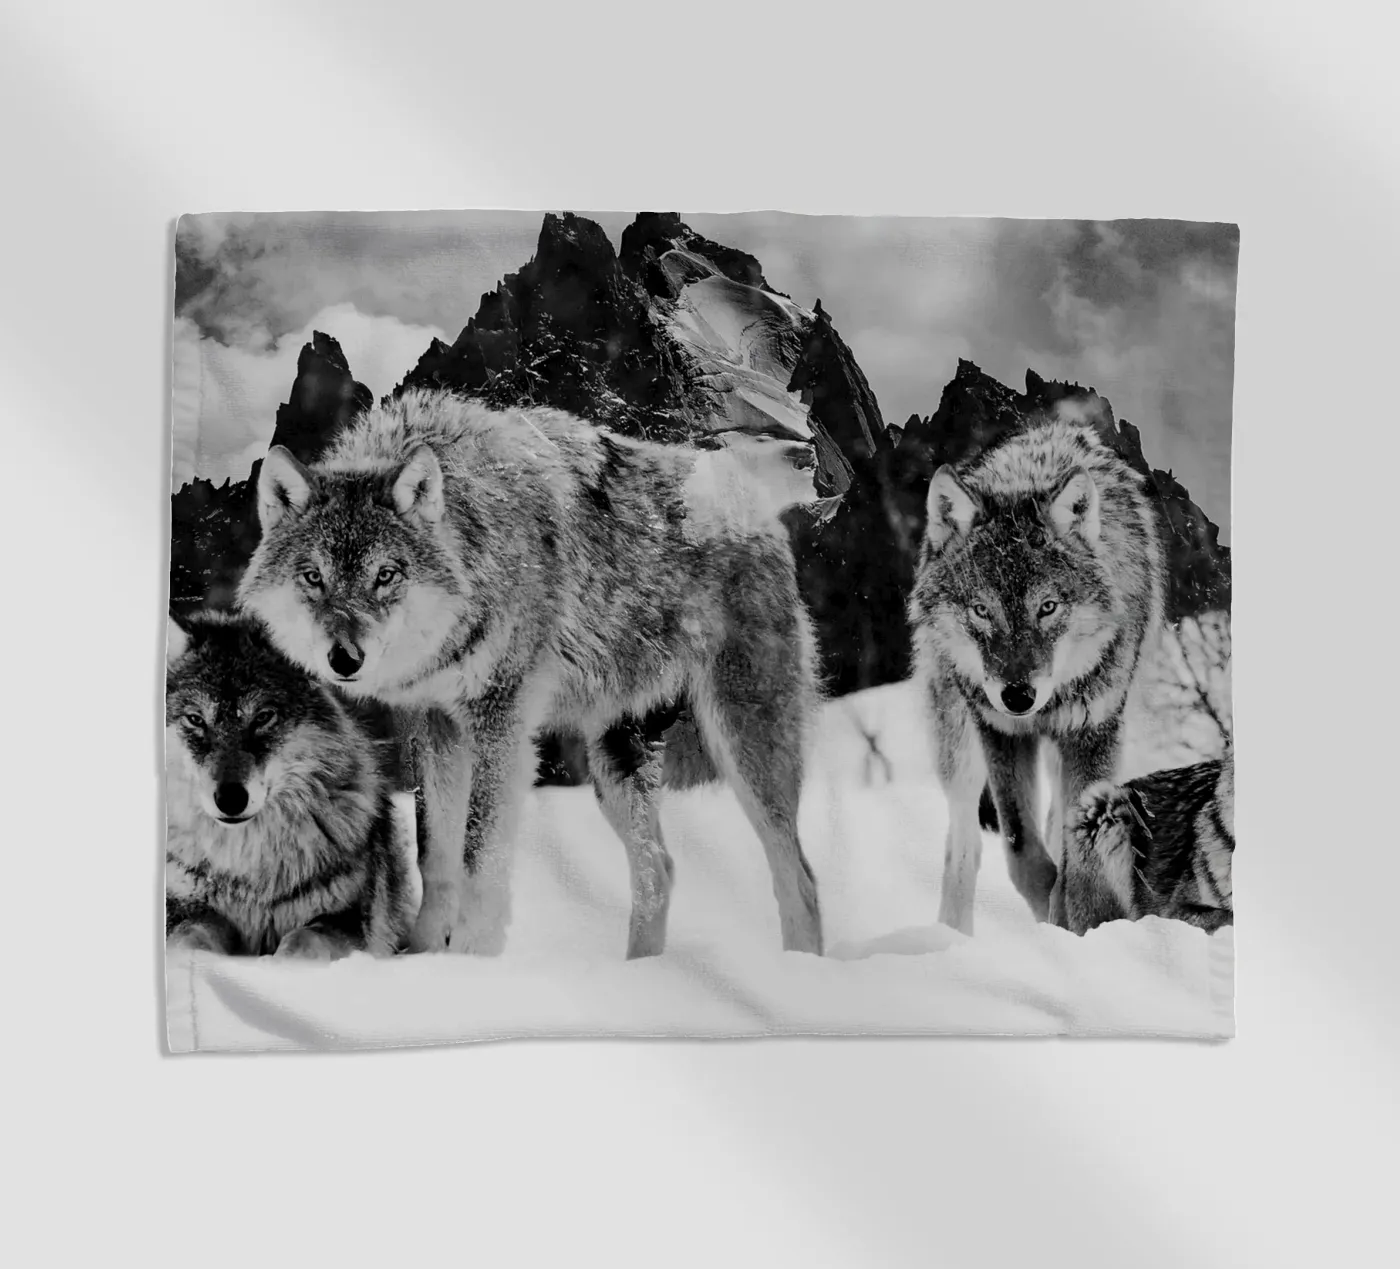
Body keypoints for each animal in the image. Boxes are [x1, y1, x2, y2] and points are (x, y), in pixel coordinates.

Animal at [165, 610, 417, 958]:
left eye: (262, 718)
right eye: (195, 720)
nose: (230, 799)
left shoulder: (346, 921)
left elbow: (302, 940)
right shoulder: (181, 909)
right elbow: (192, 936)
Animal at [237, 389, 823, 960]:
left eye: (385, 575)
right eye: (313, 577)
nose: (344, 659)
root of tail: (747, 492)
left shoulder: (502, 719)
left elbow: (479, 854)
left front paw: (472, 959)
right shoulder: (433, 723)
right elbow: (435, 853)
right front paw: (423, 956)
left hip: (742, 744)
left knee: (799, 877)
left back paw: (801, 971)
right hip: (614, 761)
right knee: (660, 872)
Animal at [908, 417, 1164, 933]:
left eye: (1047, 607)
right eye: (981, 610)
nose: (1018, 696)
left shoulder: (1094, 733)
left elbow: (1077, 851)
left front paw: (1074, 918)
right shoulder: (1000, 731)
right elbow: (1021, 849)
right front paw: (1050, 911)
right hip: (957, 739)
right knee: (963, 841)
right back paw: (951, 936)